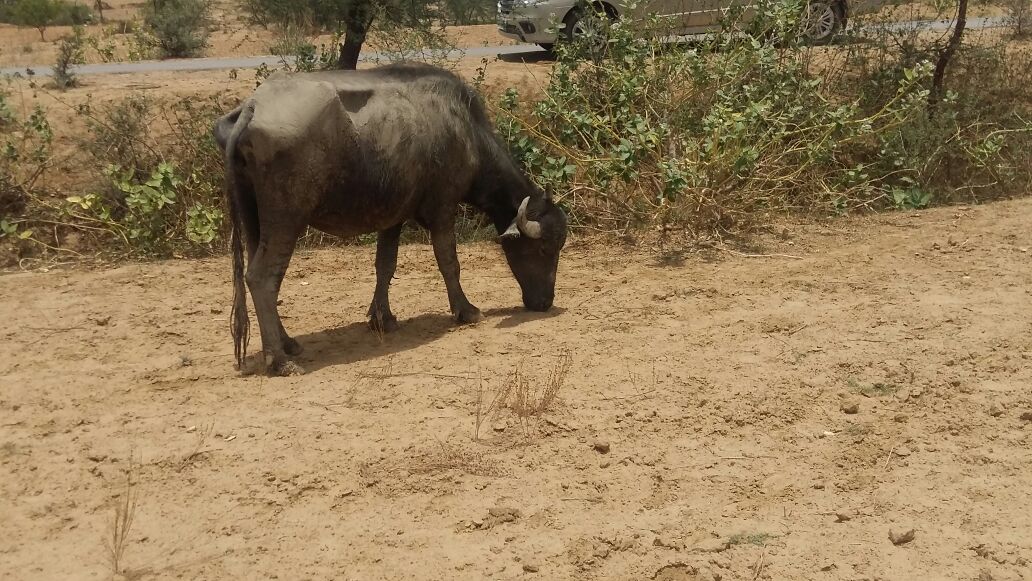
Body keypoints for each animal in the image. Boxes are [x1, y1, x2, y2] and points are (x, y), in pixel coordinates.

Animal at [213, 63, 568, 376]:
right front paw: (466, 310)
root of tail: (253, 107)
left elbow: (385, 265)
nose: (545, 302)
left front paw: (381, 317)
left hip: (255, 220)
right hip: (286, 219)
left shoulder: (391, 217)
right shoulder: (443, 209)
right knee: (262, 277)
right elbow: (449, 262)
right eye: (545, 249)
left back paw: (288, 343)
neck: (464, 130)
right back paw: (279, 360)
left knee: (264, 277)